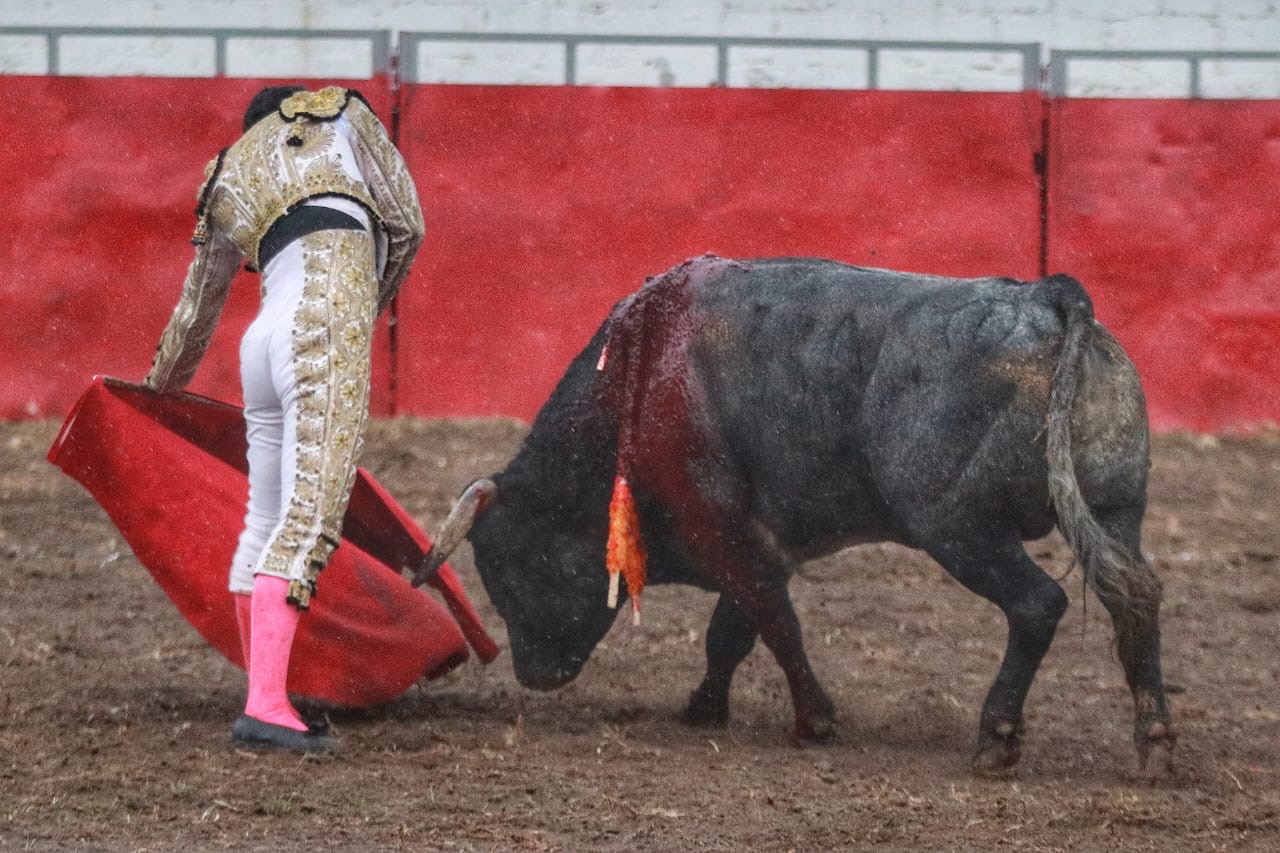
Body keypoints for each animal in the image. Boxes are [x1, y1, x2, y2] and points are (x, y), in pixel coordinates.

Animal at [419, 253, 1172, 768]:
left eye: (508, 565)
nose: (532, 674)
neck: (636, 381)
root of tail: (1049, 298)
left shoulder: (726, 532)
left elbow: (774, 624)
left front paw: (814, 720)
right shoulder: (752, 540)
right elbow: (733, 632)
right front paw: (705, 707)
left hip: (960, 530)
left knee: (1038, 604)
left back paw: (997, 736)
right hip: (1115, 509)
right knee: (1135, 594)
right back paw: (1155, 735)